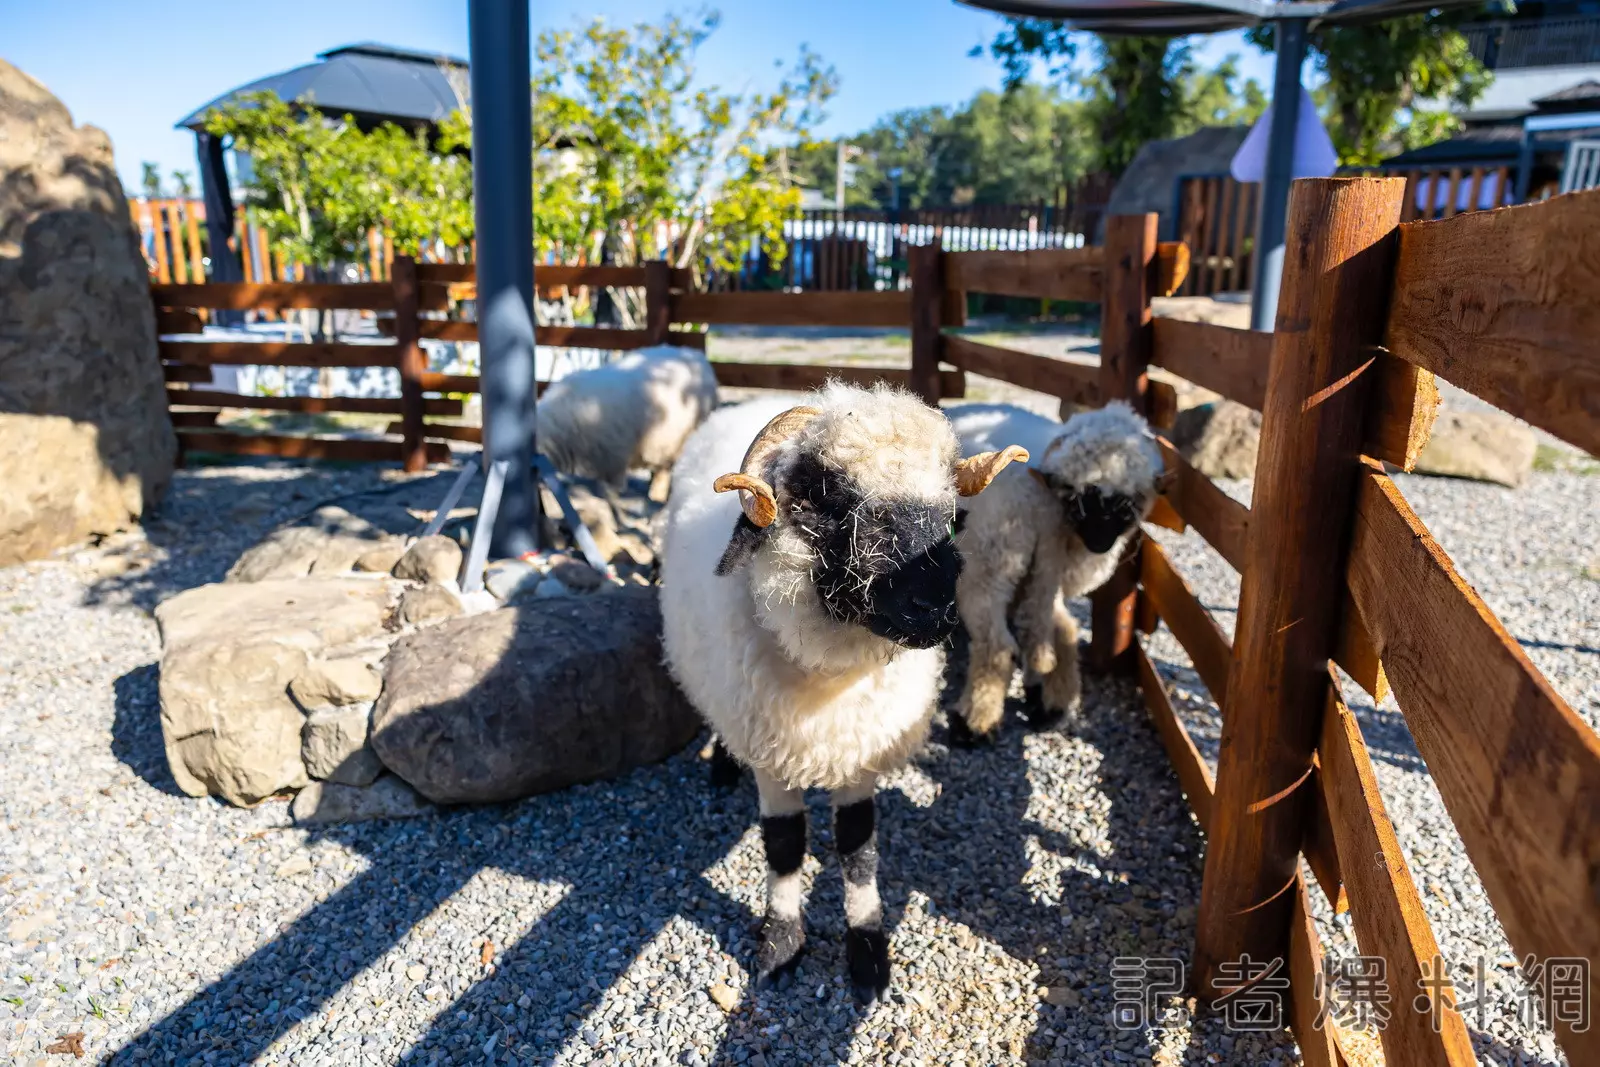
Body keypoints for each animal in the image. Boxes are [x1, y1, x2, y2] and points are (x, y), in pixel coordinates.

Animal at [534, 343, 716, 502]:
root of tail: (696, 355)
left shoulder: (614, 455)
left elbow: (613, 484)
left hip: (680, 438)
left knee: (664, 473)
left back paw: (656, 495)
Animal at [659, 383, 1024, 1004]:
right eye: (822, 496)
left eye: (953, 518)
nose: (936, 607)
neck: (831, 681)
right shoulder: (773, 760)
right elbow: (784, 846)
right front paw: (780, 946)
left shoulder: (860, 753)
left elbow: (858, 851)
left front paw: (868, 955)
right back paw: (722, 765)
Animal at [940, 399, 1171, 742]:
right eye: (1080, 498)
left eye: (1126, 503)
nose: (1099, 542)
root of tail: (1039, 504)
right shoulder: (1047, 572)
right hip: (1033, 569)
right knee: (1060, 629)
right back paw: (1053, 706)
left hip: (988, 567)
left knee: (998, 646)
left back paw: (975, 723)